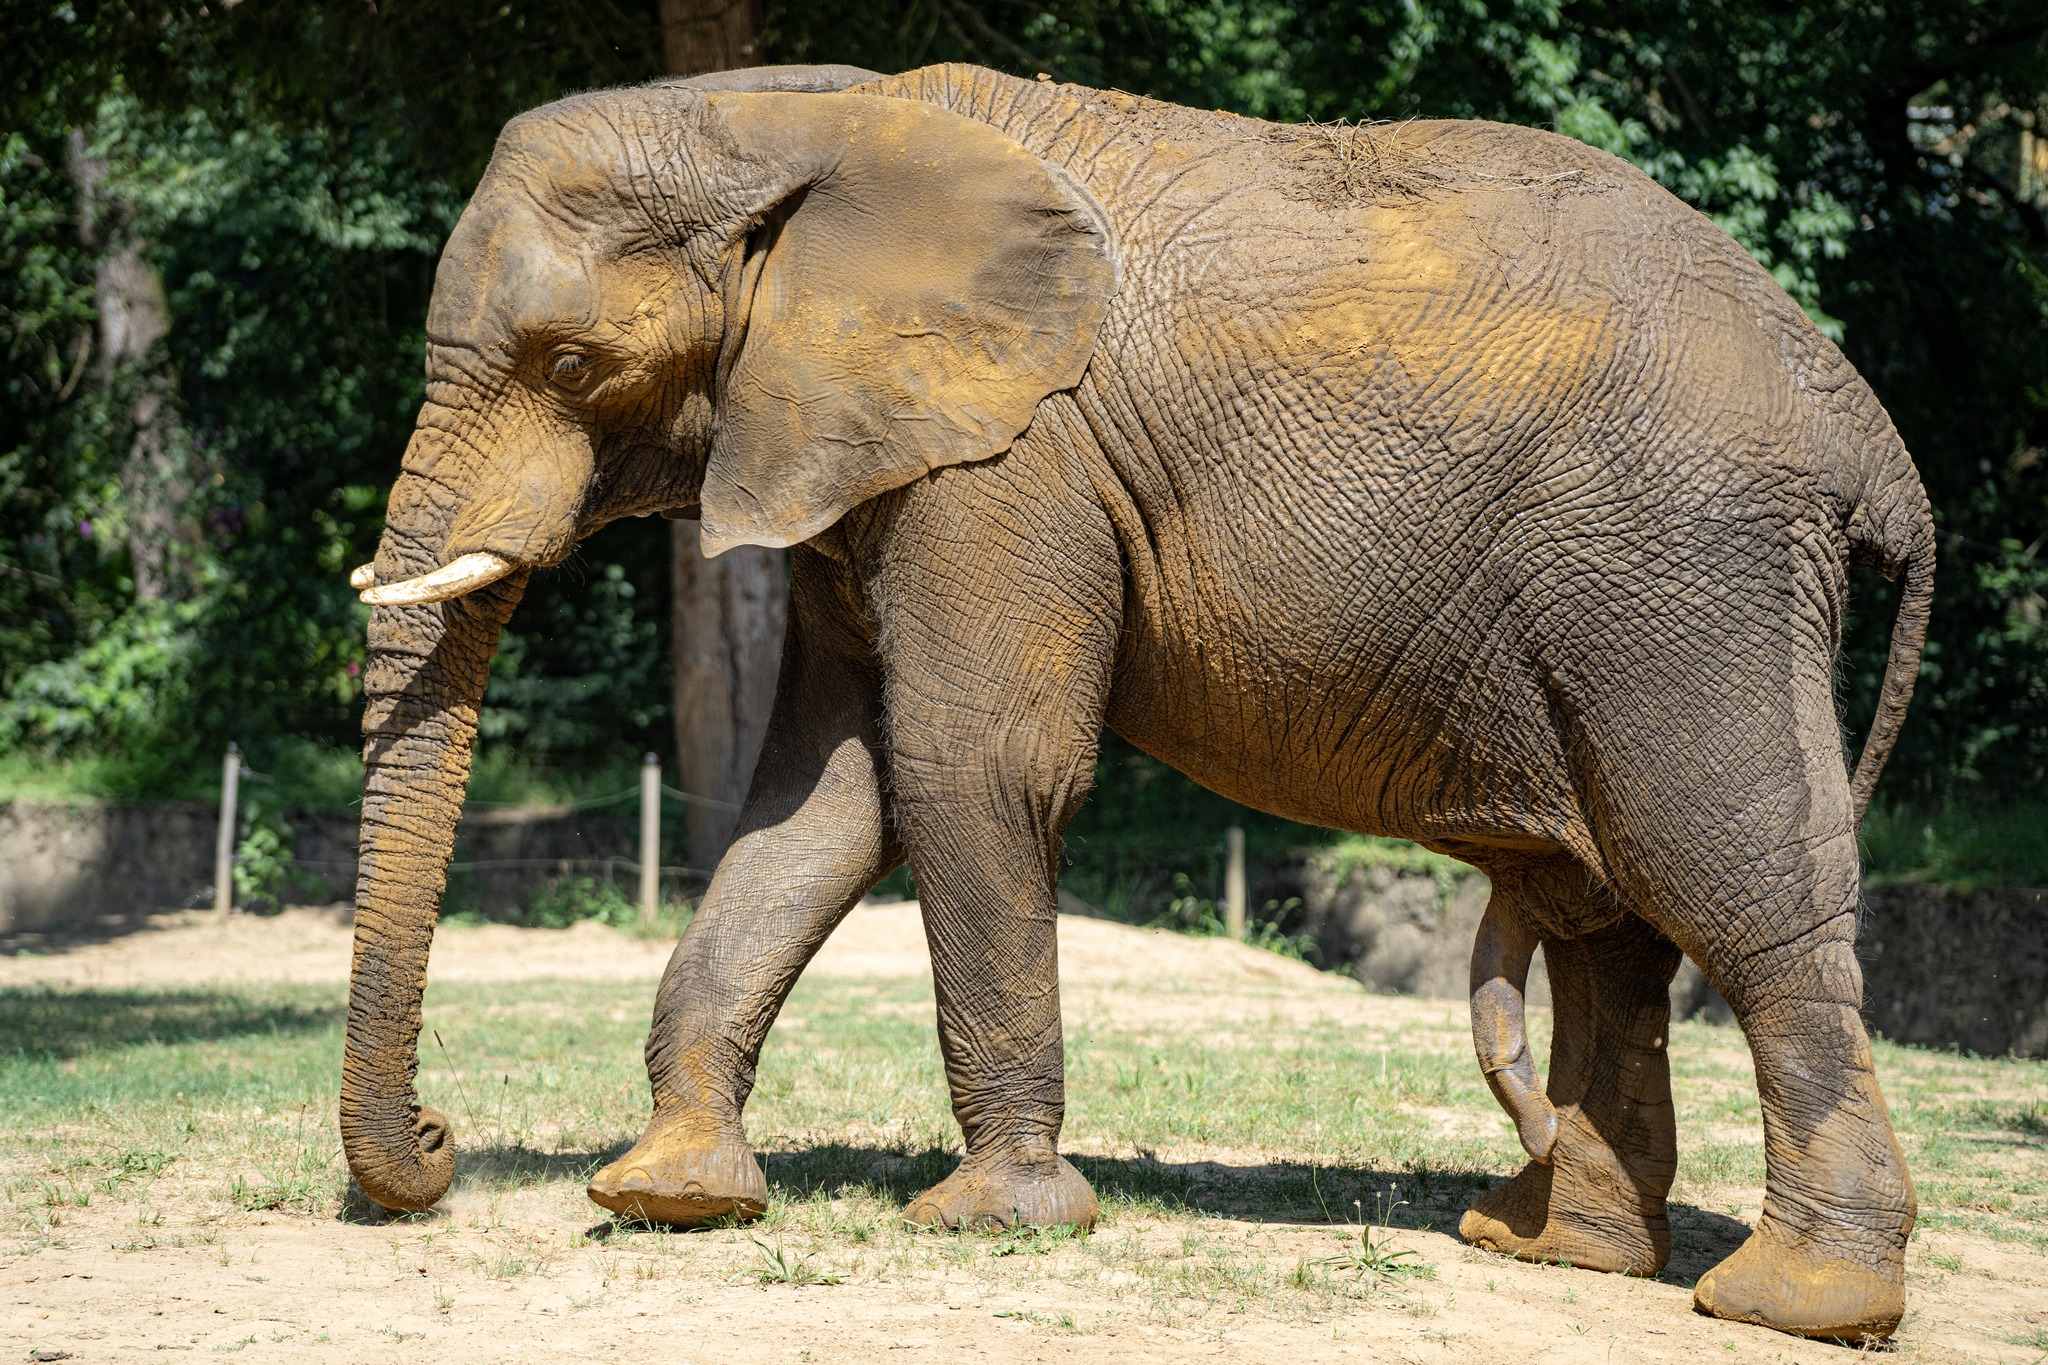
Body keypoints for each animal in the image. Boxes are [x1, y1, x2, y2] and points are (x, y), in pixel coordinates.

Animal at [339, 63, 1933, 1342]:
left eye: (571, 363)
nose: (438, 1138)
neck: (793, 117)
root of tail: (1876, 442)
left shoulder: (1010, 462)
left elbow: (970, 769)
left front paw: (989, 1222)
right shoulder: (862, 452)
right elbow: (823, 798)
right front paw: (668, 1195)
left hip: (1687, 571)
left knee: (1731, 888)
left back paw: (1793, 1306)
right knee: (1615, 923)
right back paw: (1552, 1252)